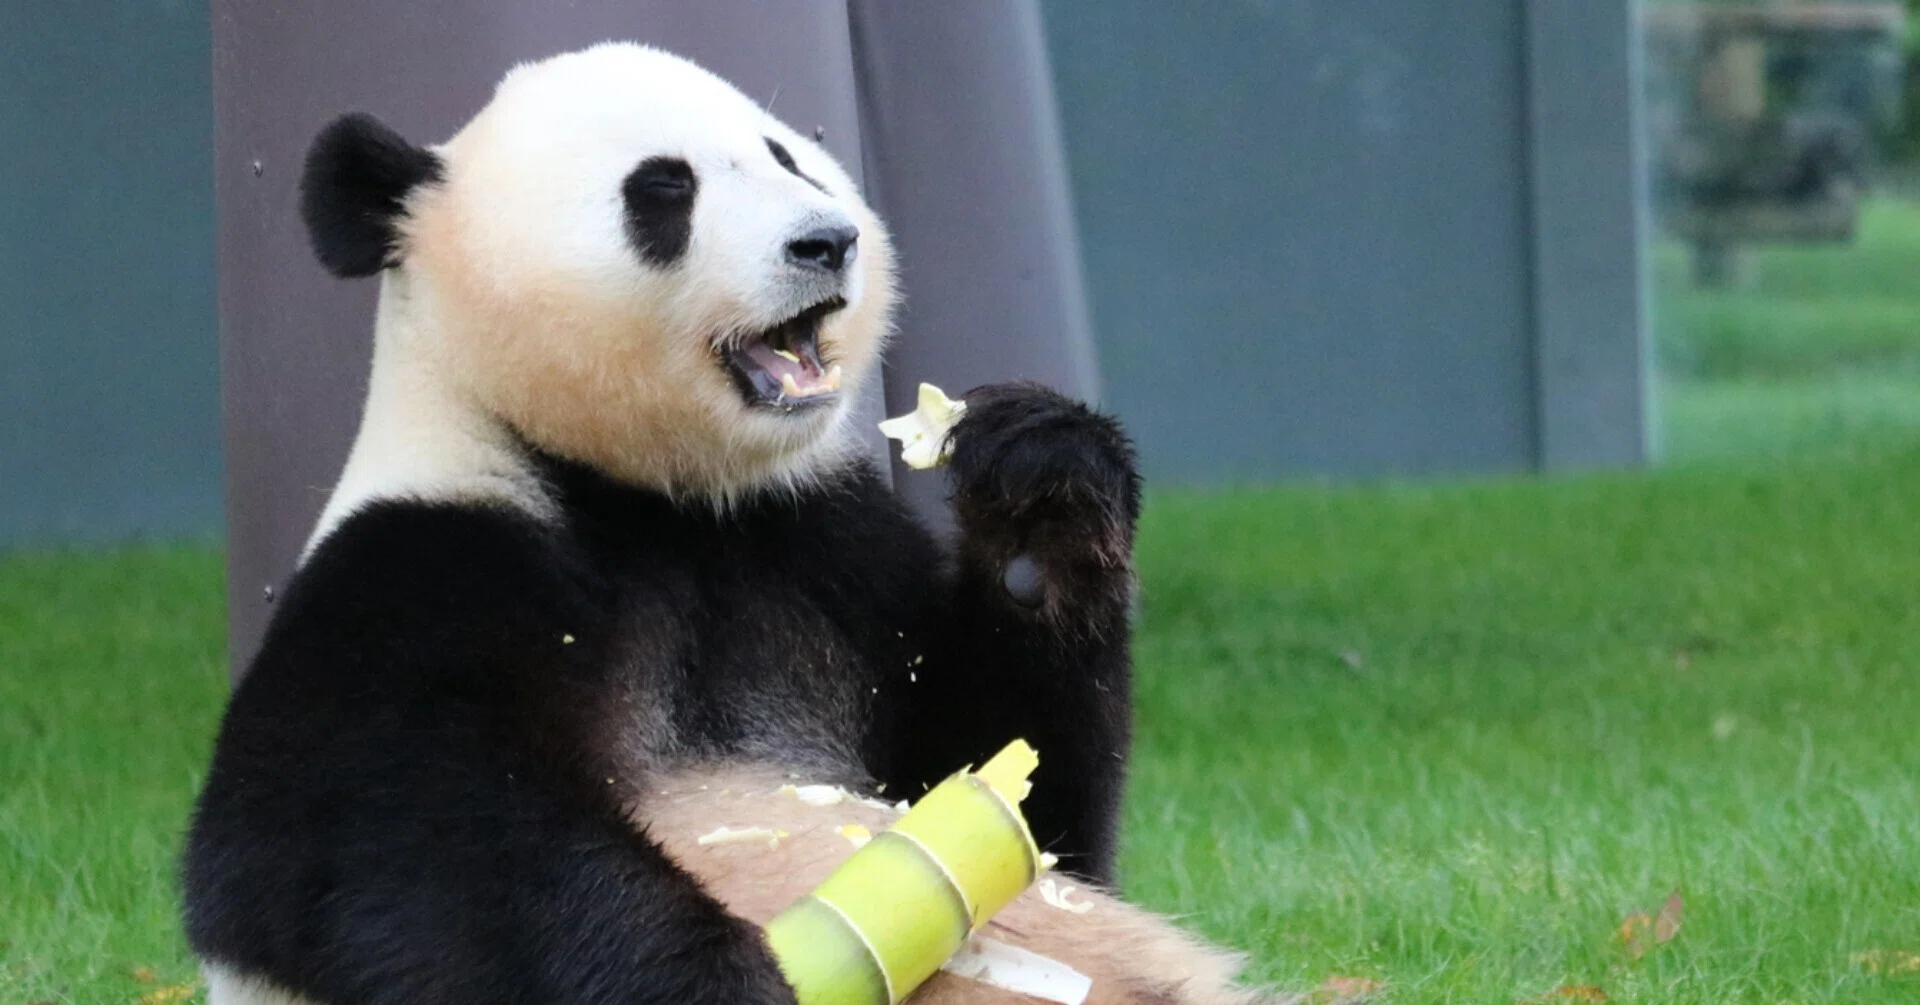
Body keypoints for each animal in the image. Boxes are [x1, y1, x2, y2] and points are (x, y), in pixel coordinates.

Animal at [182, 42, 1283, 1005]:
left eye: (785, 156)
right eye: (663, 190)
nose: (826, 241)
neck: (656, 497)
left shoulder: (823, 549)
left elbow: (1022, 807)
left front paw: (1040, 491)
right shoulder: (429, 559)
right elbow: (368, 835)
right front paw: (713, 979)